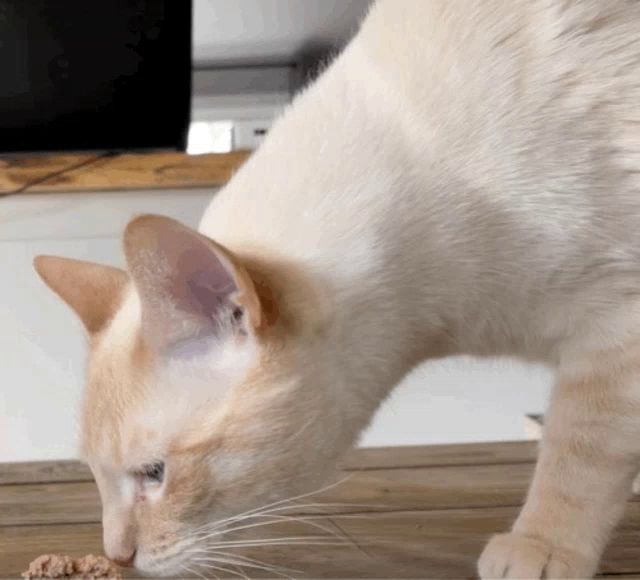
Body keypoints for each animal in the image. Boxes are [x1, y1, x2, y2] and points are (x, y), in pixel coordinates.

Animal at [32, 0, 640, 576]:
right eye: (95, 476)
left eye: (154, 473)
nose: (117, 557)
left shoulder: (616, 326)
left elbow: (579, 452)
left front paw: (543, 545)